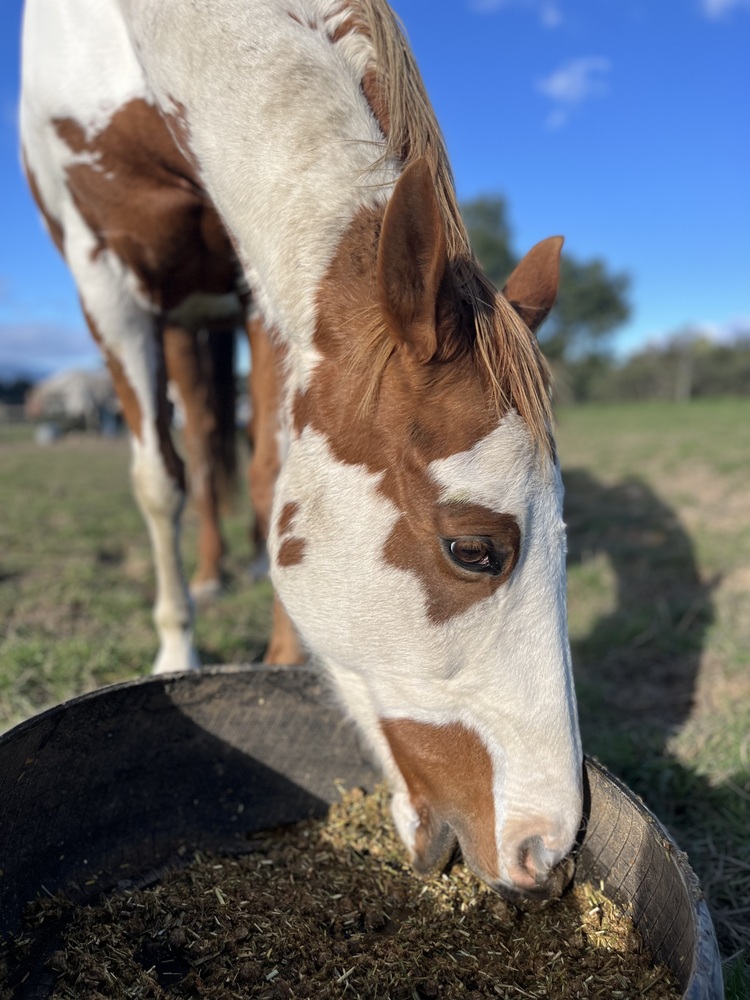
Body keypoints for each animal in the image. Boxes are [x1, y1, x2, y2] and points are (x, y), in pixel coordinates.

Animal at [20, 0, 582, 899]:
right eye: (473, 550)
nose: (549, 850)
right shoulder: (102, 272)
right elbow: (159, 480)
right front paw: (176, 645)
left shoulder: (263, 280)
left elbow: (268, 468)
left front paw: (282, 655)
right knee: (192, 448)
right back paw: (206, 580)